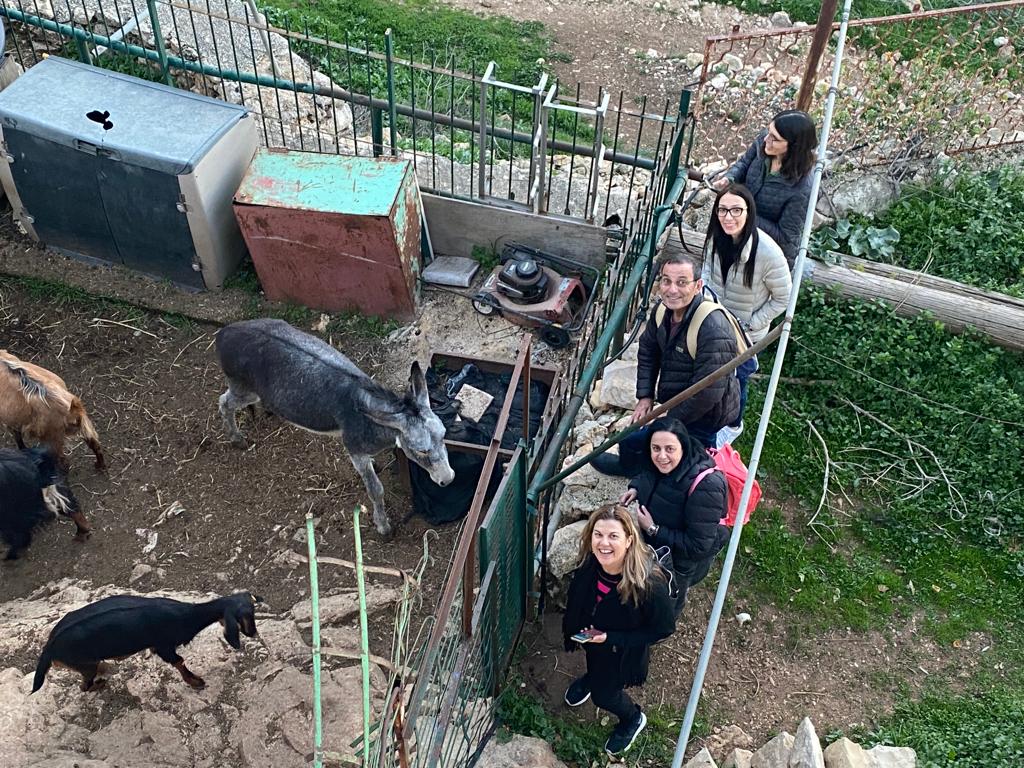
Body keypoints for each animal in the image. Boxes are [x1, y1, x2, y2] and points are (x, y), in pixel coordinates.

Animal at [32, 592, 259, 693]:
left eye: (253, 608)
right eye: (246, 616)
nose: (254, 633)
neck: (186, 616)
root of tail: (49, 649)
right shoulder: (163, 646)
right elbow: (179, 661)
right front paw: (196, 682)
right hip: (85, 664)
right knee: (84, 686)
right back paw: (100, 682)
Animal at [215, 319, 455, 538]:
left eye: (444, 436)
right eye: (421, 450)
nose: (448, 479)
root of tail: (224, 332)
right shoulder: (354, 448)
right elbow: (376, 490)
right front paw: (384, 527)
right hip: (243, 388)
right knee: (224, 402)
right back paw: (237, 439)